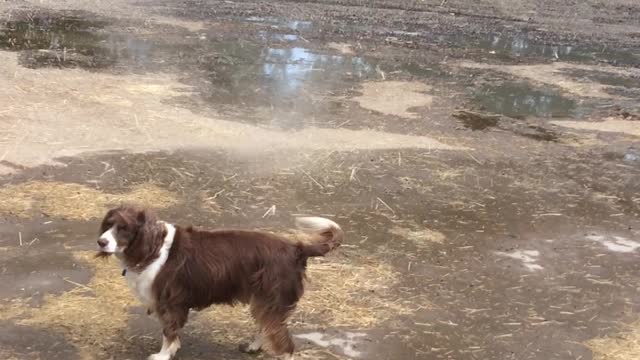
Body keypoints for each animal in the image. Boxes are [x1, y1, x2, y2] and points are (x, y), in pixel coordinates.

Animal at [95, 207, 342, 360]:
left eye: (124, 228)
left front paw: (163, 355)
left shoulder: (170, 302)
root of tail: (296, 248)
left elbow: (168, 332)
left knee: (285, 343)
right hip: (263, 300)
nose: (101, 241)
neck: (151, 247)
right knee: (269, 327)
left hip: (273, 299)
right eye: (108, 225)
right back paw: (253, 346)